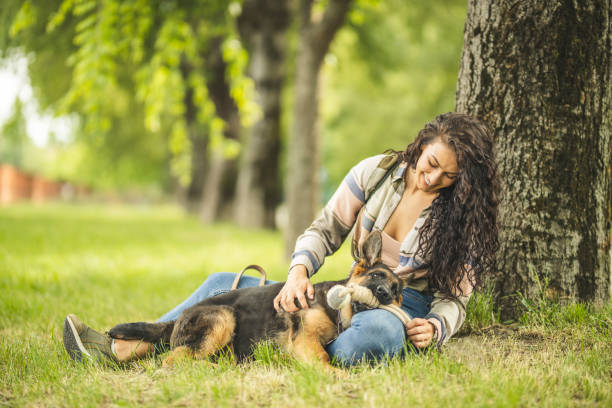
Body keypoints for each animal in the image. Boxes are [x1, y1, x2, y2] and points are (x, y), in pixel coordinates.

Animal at [109, 231, 406, 368]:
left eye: (396, 291)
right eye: (376, 276)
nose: (384, 294)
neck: (335, 311)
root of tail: (178, 319)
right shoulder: (305, 340)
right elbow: (324, 358)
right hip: (224, 317)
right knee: (173, 359)